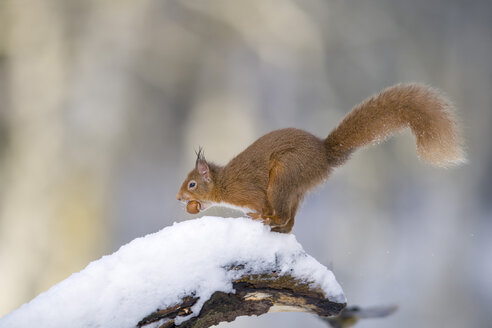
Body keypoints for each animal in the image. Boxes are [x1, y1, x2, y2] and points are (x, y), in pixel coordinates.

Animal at [177, 84, 466, 233]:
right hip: (296, 189)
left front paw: (260, 215)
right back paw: (278, 227)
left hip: (284, 176)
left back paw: (268, 220)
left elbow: (261, 203)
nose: (179, 198)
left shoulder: (250, 191)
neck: (224, 183)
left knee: (282, 214)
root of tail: (323, 155)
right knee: (291, 221)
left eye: (192, 184)